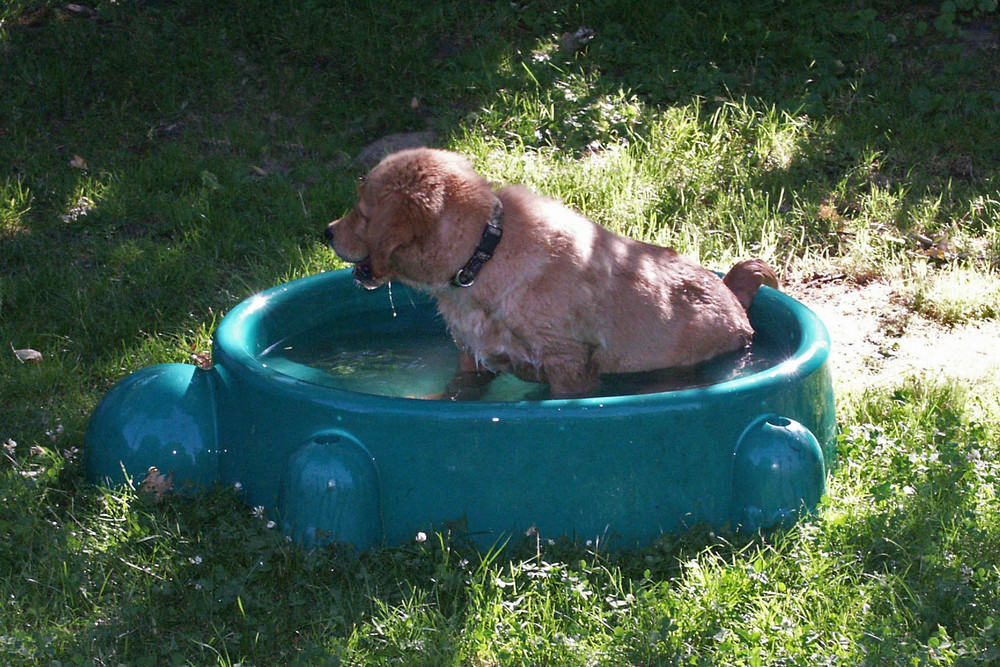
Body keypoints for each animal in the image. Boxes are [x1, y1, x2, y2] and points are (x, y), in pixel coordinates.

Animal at [324, 149, 776, 400]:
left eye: (361, 214)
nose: (326, 232)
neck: (484, 254)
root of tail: (733, 294)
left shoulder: (568, 363)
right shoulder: (473, 354)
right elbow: (459, 391)